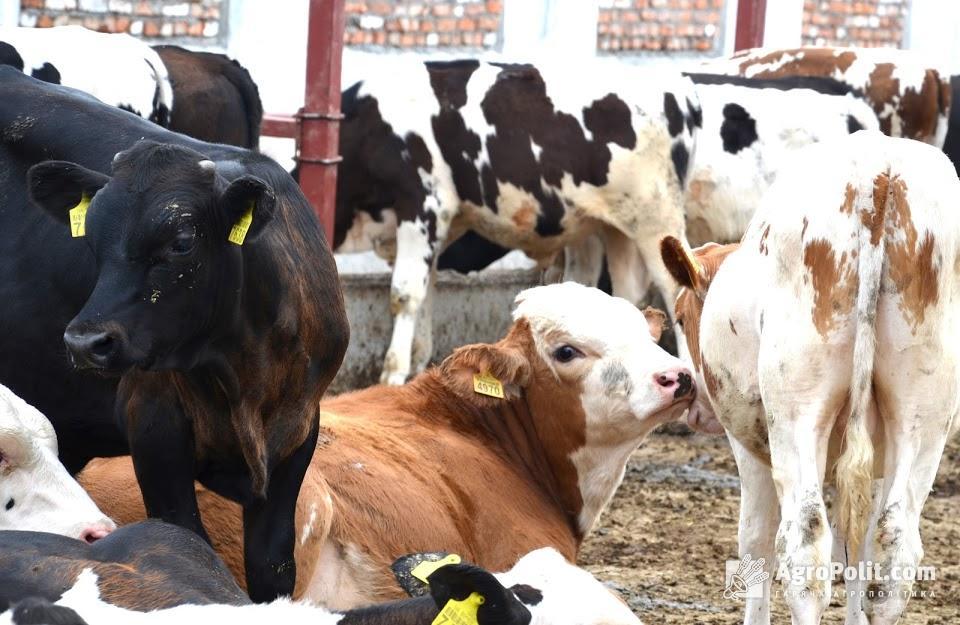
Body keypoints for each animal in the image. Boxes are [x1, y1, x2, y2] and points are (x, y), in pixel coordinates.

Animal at [0, 67, 348, 600]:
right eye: (91, 238)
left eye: (182, 242)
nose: (85, 343)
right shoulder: (154, 425)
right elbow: (184, 538)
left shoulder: (297, 432)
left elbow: (273, 567)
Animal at [336, 59, 696, 380]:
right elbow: (427, 292)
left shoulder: (423, 204)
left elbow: (405, 294)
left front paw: (392, 374)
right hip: (616, 226)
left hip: (655, 219)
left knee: (677, 290)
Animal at [660, 129, 960, 620]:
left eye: (682, 317)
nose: (695, 407)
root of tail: (879, 173)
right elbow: (857, 549)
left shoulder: (750, 442)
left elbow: (757, 541)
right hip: (923, 418)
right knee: (894, 547)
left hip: (797, 414)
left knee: (804, 543)